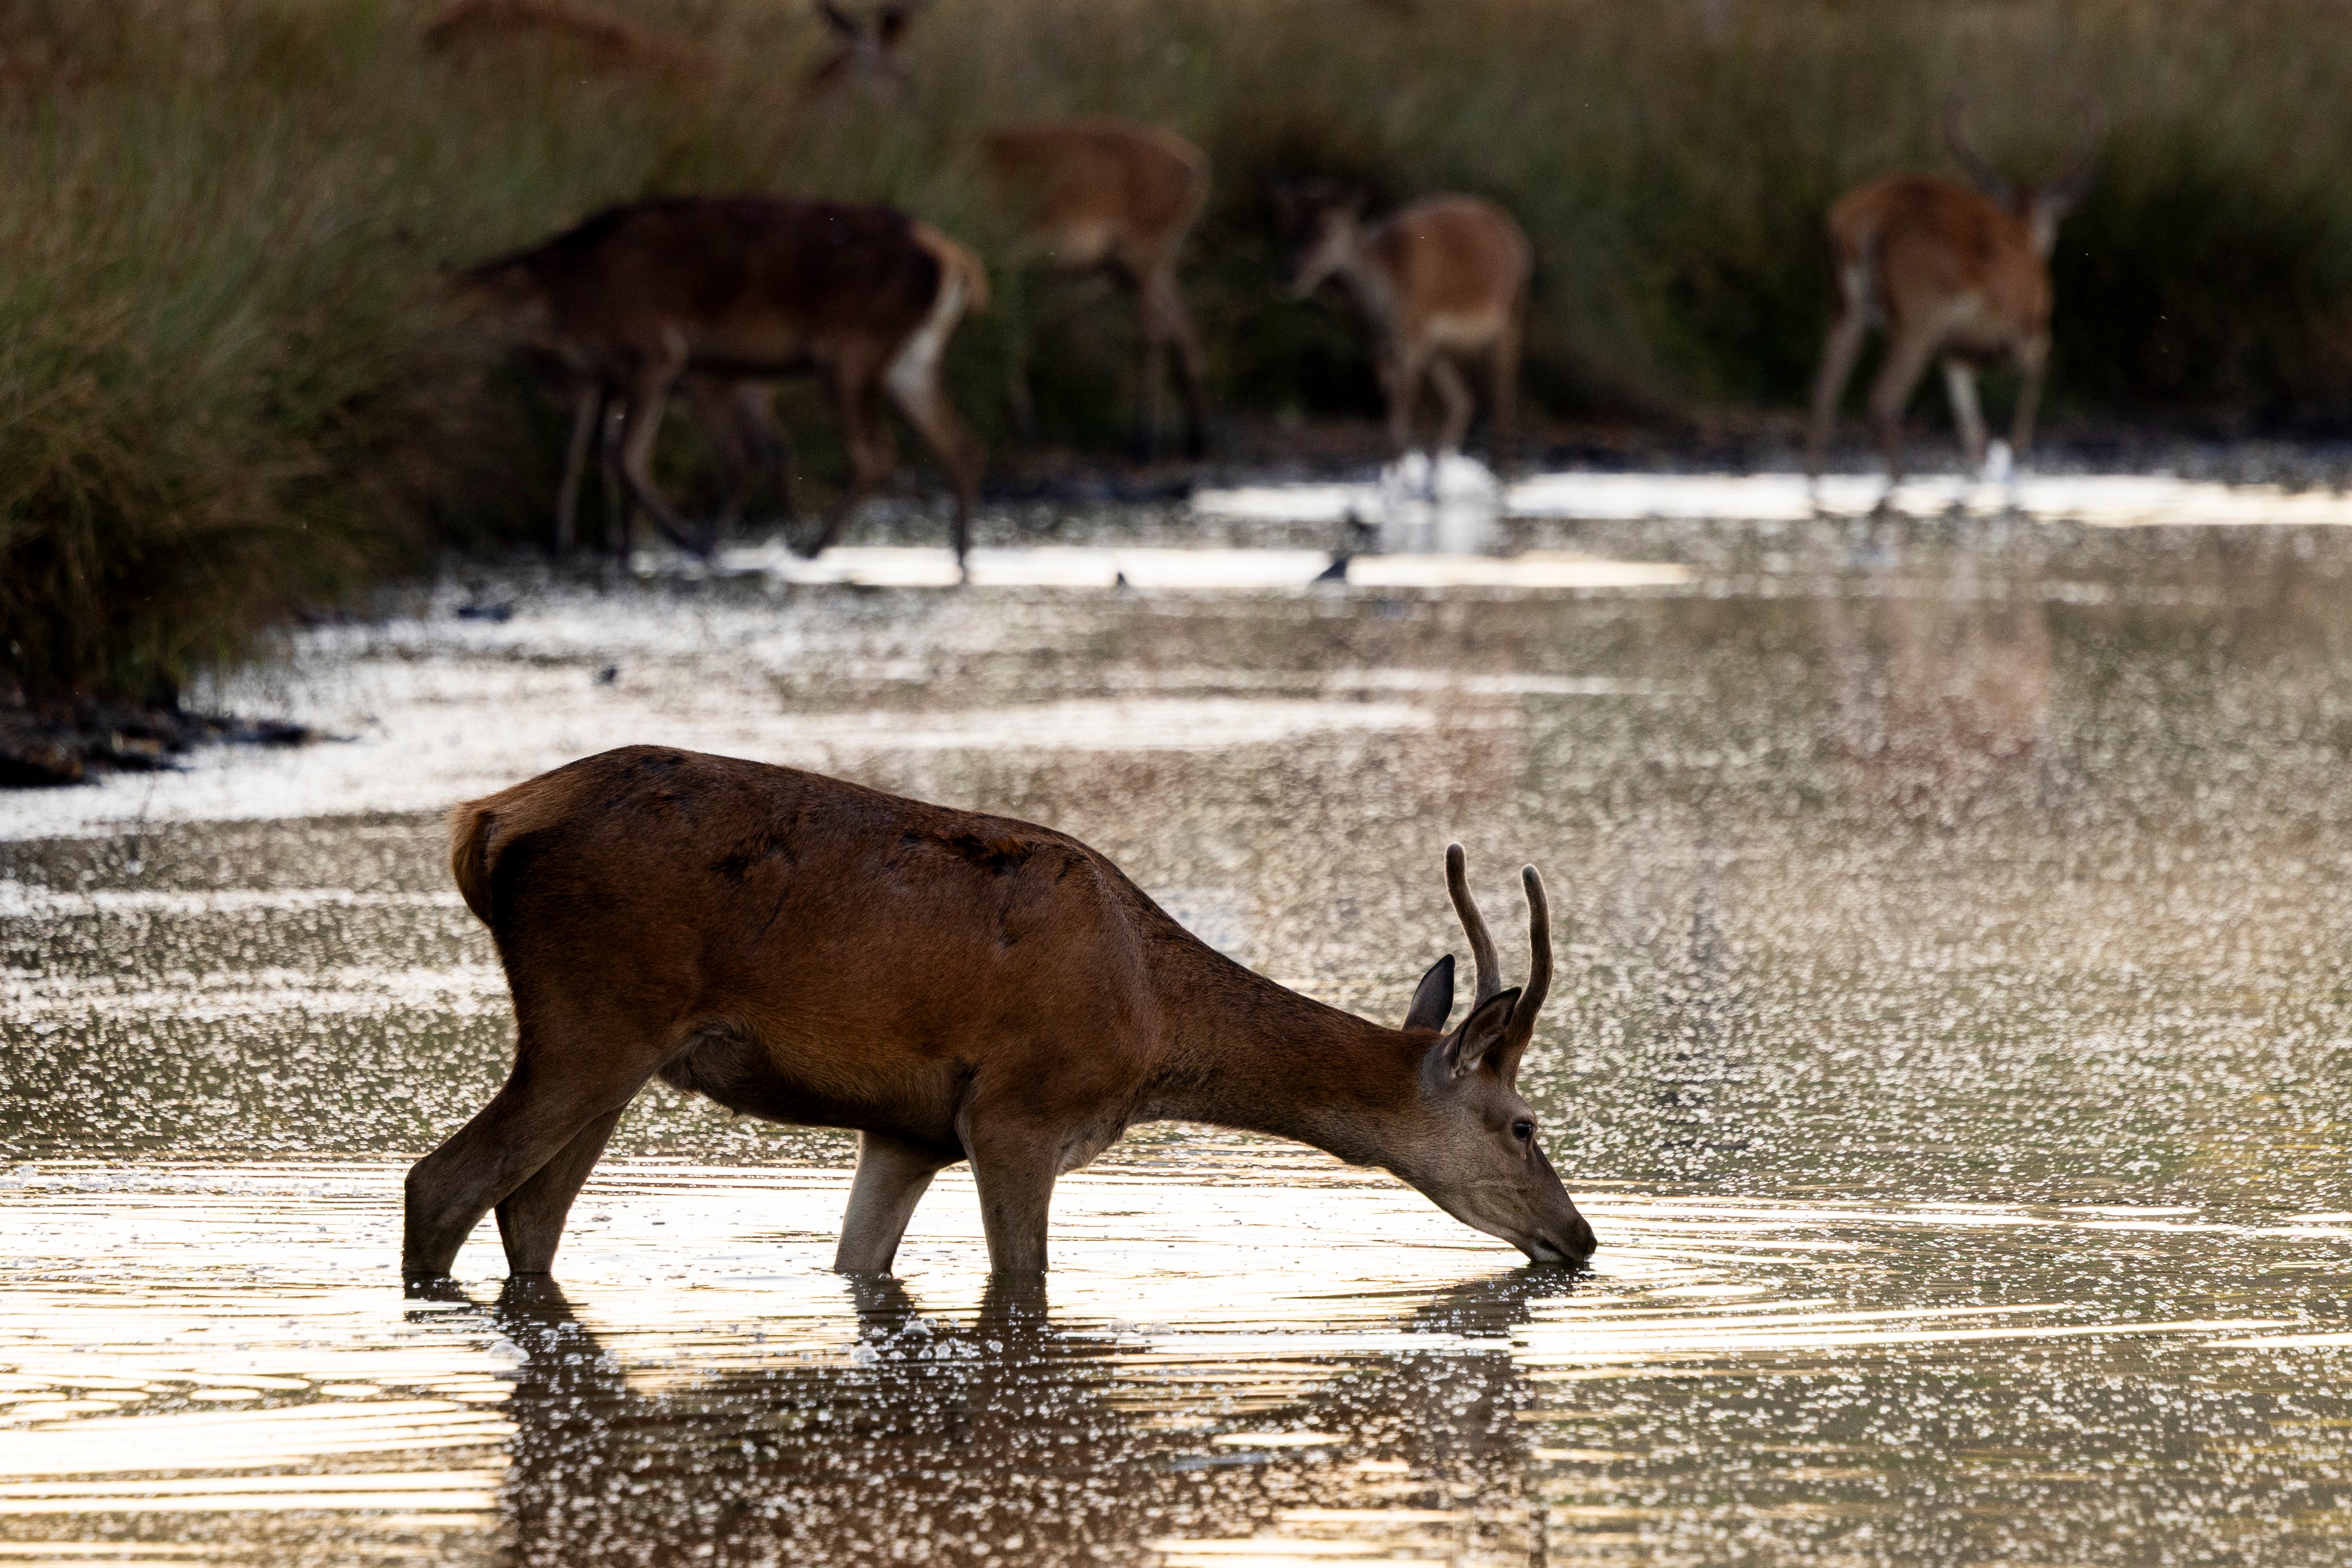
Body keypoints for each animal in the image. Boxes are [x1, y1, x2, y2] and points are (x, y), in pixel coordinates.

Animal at [402, 746, 1596, 1286]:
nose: (1580, 1235)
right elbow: (1024, 1277)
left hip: (615, 1046)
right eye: (1525, 1124)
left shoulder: (909, 1128)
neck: (1155, 1024)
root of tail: (485, 822)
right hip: (593, 1013)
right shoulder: (1018, 1110)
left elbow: (859, 1262)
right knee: (443, 1182)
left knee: (529, 1214)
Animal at [463, 196, 988, 568]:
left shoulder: (658, 353)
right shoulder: (610, 377)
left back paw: (807, 548)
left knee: (868, 454)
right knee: (956, 443)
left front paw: (673, 541)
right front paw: (587, 544)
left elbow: (626, 457)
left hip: (851, 352)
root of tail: (960, 263)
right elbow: (583, 455)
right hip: (908, 362)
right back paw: (960, 555)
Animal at [983, 119, 1212, 461]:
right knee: (1185, 330)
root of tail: (1195, 163)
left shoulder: (1005, 265)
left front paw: (1026, 432)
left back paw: (1144, 443)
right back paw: (1195, 442)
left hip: (1144, 259)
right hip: (1134, 269)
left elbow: (1008, 336)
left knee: (1154, 336)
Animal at [1286, 188, 1531, 471]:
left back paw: (1503, 467)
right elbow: (1391, 395)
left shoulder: (1413, 329)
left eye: (1329, 229)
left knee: (1503, 393)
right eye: (1291, 227)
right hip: (1438, 346)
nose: (1290, 276)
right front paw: (1398, 465)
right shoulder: (1381, 342)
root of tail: (1516, 234)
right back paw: (1440, 464)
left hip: (1511, 313)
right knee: (1463, 400)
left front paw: (1400, 467)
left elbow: (1401, 401)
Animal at [1807, 96, 2103, 487]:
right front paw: (2016, 452)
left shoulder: (1954, 352)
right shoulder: (2023, 328)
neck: (2024, 235)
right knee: (1881, 402)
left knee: (1822, 397)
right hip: (1919, 318)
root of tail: (1860, 221)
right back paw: (1900, 483)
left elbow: (1972, 429)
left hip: (1844, 311)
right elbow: (2036, 372)